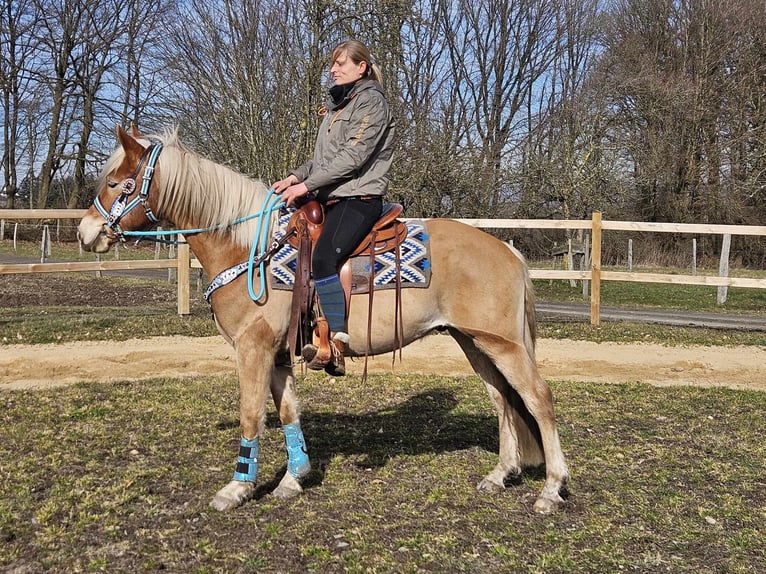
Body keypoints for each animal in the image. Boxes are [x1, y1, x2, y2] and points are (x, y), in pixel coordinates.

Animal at [78, 126, 568, 516]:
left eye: (116, 182)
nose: (86, 233)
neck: (249, 248)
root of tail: (509, 251)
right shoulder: (279, 354)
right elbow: (288, 411)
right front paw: (294, 479)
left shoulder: (254, 348)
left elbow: (251, 416)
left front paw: (237, 488)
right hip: (475, 342)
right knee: (503, 400)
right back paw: (500, 474)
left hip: (503, 344)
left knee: (538, 399)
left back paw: (551, 489)